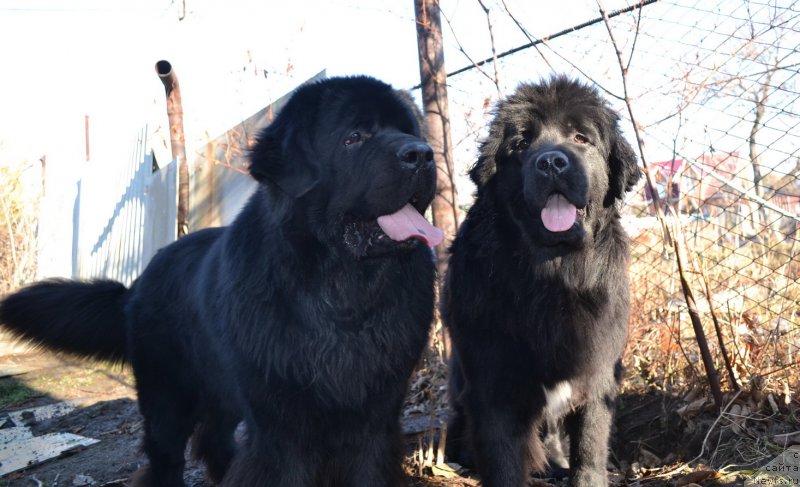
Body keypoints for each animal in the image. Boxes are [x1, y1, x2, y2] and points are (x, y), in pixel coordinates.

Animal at [1, 74, 444, 486]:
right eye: (354, 137)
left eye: (408, 130)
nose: (422, 154)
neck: (343, 293)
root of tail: (138, 283)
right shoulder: (283, 429)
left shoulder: (375, 418)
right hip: (168, 398)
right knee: (166, 457)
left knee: (213, 440)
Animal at [446, 77, 640, 487]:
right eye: (521, 143)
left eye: (581, 138)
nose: (551, 161)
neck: (554, 275)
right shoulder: (492, 383)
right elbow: (503, 460)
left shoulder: (597, 375)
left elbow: (589, 450)